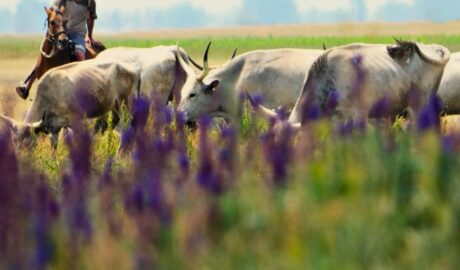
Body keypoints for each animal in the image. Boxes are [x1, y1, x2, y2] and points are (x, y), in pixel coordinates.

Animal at [0, 57, 140, 149]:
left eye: (27, 143)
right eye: (14, 142)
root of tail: (135, 66)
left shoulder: (76, 119)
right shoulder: (54, 127)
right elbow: (54, 148)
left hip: (126, 106)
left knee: (127, 130)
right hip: (115, 108)